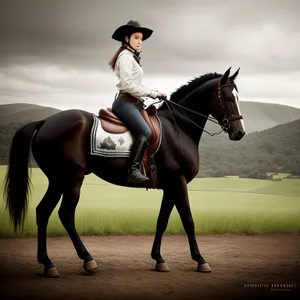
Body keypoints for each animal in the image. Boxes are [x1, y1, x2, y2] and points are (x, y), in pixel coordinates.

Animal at [3, 67, 245, 278]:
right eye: (228, 98)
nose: (240, 133)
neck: (178, 128)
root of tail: (45, 122)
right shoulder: (179, 182)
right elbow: (188, 219)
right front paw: (200, 260)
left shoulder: (170, 186)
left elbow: (162, 221)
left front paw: (159, 259)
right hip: (71, 178)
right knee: (65, 214)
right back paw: (87, 260)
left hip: (57, 180)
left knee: (43, 212)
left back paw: (47, 264)